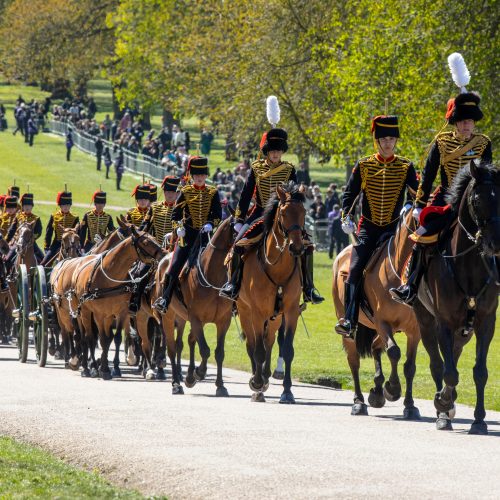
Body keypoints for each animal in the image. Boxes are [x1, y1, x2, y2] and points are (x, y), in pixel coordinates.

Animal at [71, 224, 164, 378]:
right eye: (146, 242)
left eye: (155, 239)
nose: (165, 254)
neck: (110, 276)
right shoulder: (99, 314)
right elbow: (101, 339)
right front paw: (102, 368)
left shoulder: (121, 313)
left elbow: (115, 338)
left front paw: (111, 368)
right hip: (84, 312)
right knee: (87, 337)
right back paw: (87, 366)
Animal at [150, 217, 234, 396]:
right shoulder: (196, 318)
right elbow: (205, 350)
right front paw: (199, 373)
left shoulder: (223, 321)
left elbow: (219, 353)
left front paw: (220, 385)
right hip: (169, 317)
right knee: (172, 348)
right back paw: (176, 383)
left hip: (182, 317)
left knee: (184, 342)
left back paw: (186, 376)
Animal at [235, 182, 304, 404]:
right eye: (283, 213)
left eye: (303, 212)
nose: (296, 247)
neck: (277, 267)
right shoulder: (256, 312)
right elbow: (257, 350)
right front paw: (257, 384)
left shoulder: (290, 312)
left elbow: (286, 349)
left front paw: (287, 391)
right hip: (245, 311)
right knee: (253, 344)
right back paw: (257, 382)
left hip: (275, 317)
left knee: (269, 341)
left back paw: (264, 377)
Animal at [332, 210, 422, 418]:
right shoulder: (383, 323)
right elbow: (394, 352)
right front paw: (393, 388)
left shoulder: (414, 331)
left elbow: (410, 366)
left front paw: (409, 405)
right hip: (351, 327)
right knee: (354, 360)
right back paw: (359, 402)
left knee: (375, 347)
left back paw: (377, 392)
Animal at [412, 163, 498, 434]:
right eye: (477, 200)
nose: (495, 243)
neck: (468, 263)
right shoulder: (444, 322)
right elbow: (448, 372)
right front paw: (442, 402)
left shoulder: (485, 322)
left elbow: (480, 372)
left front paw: (479, 420)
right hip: (425, 320)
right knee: (438, 364)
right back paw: (443, 410)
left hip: (464, 331)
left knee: (455, 357)